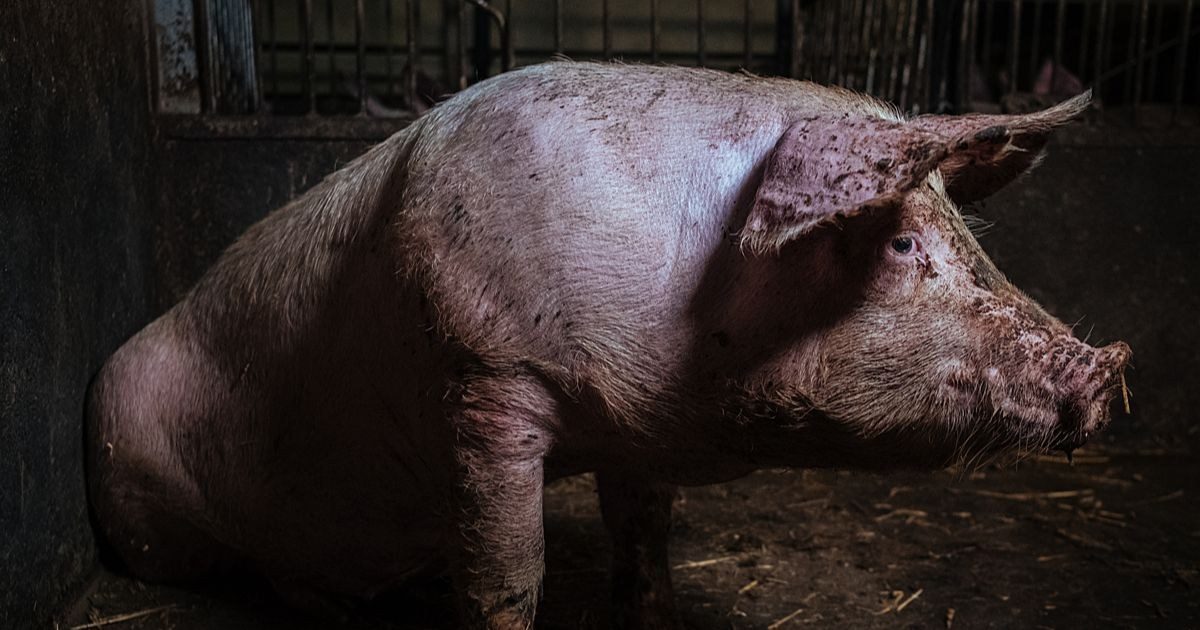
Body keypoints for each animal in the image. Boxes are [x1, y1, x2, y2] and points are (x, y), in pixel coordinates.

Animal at [86, 62, 1130, 629]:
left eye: (964, 233)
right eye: (902, 244)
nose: (1108, 369)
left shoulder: (639, 430)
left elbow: (644, 539)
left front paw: (659, 621)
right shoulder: (485, 375)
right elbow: (506, 576)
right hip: (141, 511)